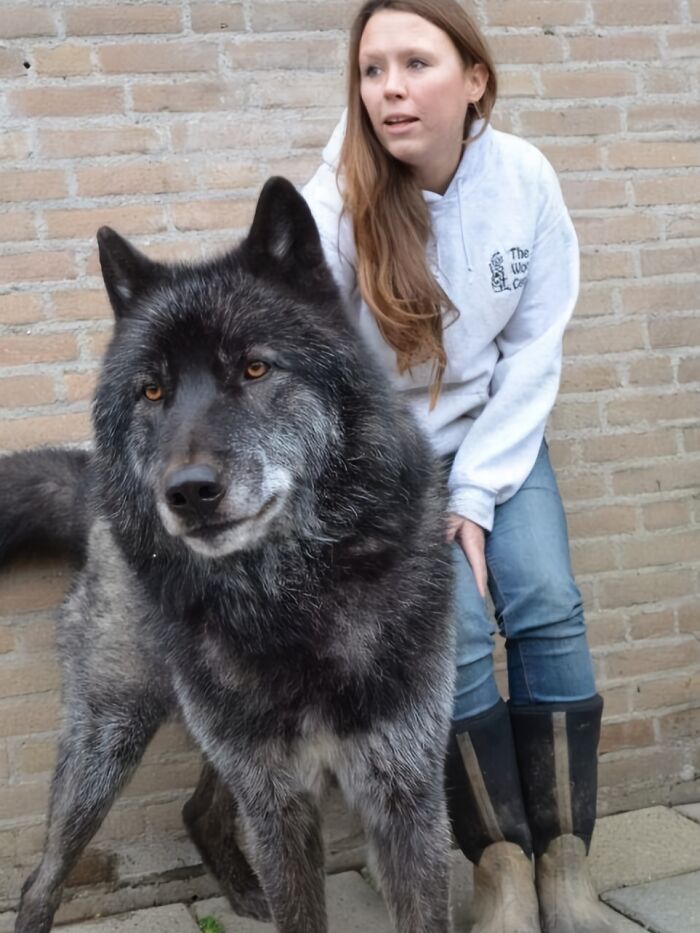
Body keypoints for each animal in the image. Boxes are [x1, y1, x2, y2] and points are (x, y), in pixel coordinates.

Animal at [1, 178, 455, 933]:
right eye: (152, 389)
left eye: (255, 366)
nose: (187, 493)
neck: (293, 604)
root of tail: (94, 490)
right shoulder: (276, 801)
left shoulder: (405, 794)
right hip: (108, 738)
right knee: (43, 876)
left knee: (198, 809)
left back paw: (243, 892)